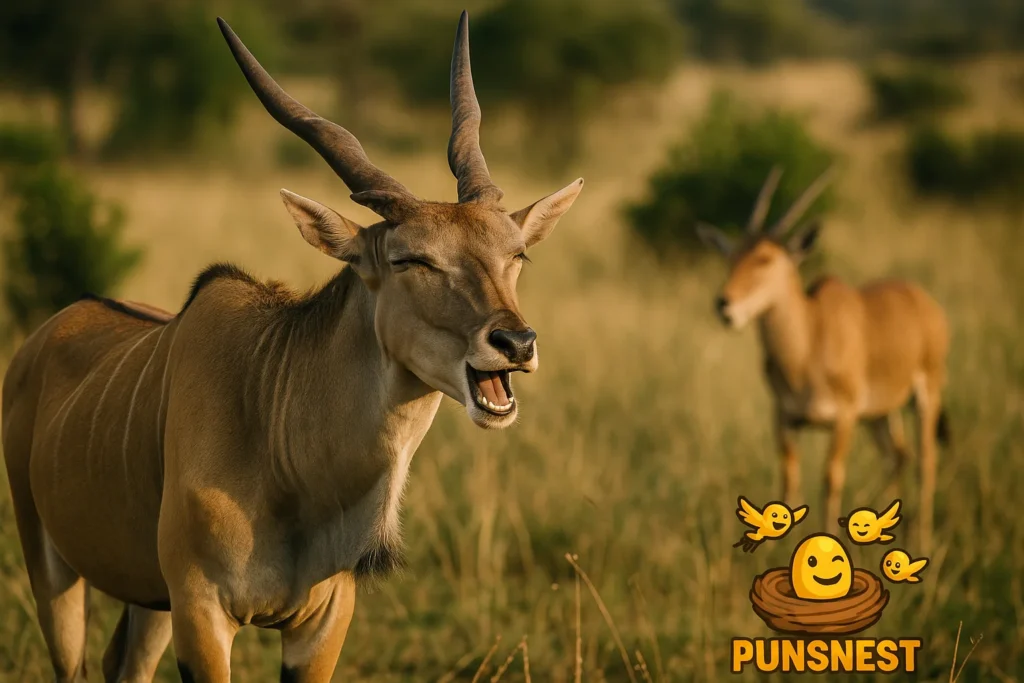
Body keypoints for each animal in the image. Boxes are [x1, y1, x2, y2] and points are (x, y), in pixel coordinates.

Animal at [1, 12, 583, 683]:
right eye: (411, 259)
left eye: (517, 255)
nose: (515, 341)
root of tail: (41, 339)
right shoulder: (202, 615)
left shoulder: (319, 625)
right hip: (55, 573)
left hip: (149, 605)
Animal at [697, 168, 948, 551]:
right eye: (731, 256)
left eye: (765, 258)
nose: (725, 305)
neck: (808, 344)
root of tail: (924, 302)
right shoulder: (785, 420)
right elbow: (788, 483)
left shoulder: (843, 420)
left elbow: (831, 479)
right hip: (879, 414)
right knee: (897, 456)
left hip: (925, 396)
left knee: (926, 461)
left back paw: (921, 542)